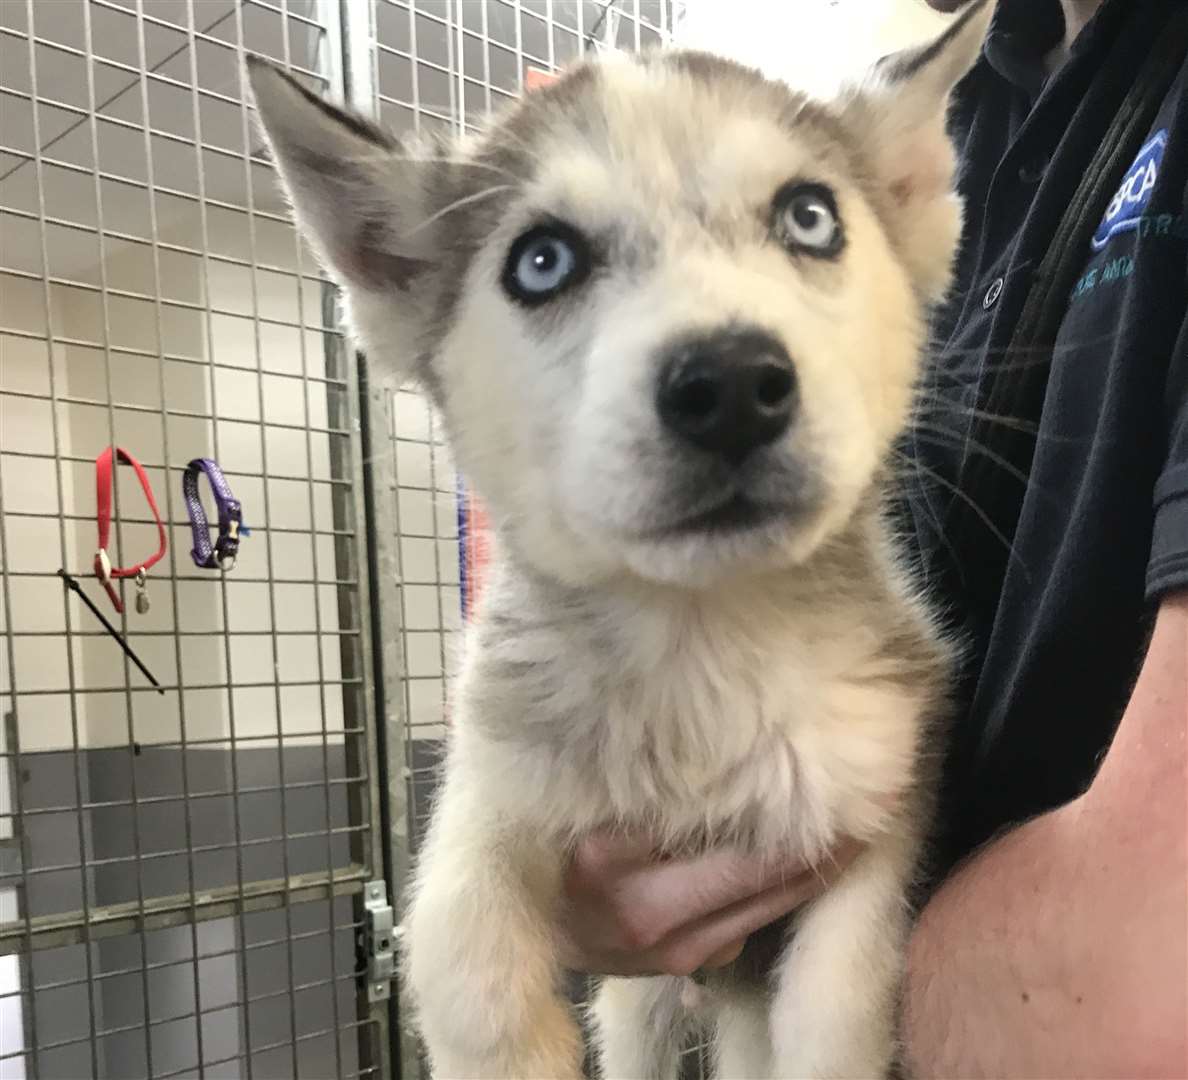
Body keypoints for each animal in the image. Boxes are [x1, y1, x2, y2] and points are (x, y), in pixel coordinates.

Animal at [253, 4, 993, 1074]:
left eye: (811, 217)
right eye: (542, 260)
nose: (730, 385)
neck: (702, 645)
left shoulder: (875, 800)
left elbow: (837, 1007)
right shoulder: (496, 782)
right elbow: (463, 958)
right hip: (639, 1001)